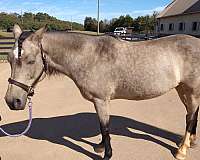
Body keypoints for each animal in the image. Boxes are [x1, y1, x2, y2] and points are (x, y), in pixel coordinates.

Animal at [3, 24, 200, 160]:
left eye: (30, 60)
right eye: (10, 59)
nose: (12, 101)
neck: (88, 56)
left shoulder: (101, 100)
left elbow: (104, 127)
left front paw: (107, 154)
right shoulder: (100, 102)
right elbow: (101, 126)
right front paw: (99, 147)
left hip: (191, 91)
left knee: (191, 117)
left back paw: (181, 150)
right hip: (182, 89)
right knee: (191, 115)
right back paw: (189, 142)